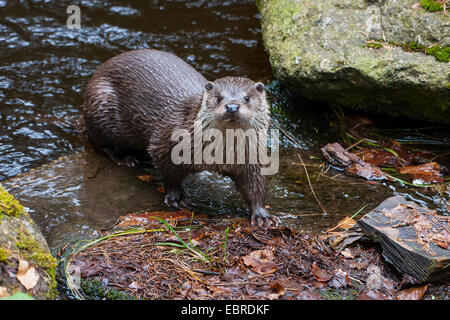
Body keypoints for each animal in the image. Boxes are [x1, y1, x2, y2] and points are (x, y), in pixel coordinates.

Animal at [81, 48, 278, 228]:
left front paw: (262, 215)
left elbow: (255, 185)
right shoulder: (166, 143)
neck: (219, 154)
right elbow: (169, 174)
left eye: (247, 98)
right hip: (101, 104)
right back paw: (124, 158)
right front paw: (177, 198)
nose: (232, 106)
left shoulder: (251, 158)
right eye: (218, 97)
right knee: (97, 140)